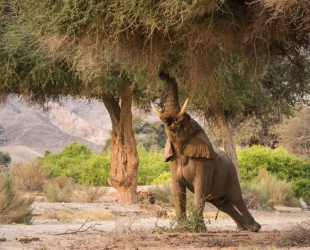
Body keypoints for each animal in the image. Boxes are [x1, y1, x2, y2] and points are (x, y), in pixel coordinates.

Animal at [151, 72, 260, 232]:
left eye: (188, 117)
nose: (164, 74)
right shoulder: (173, 162)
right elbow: (178, 191)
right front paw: (182, 229)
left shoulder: (205, 165)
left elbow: (200, 190)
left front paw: (198, 230)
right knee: (222, 202)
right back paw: (243, 228)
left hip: (231, 173)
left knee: (236, 198)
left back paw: (254, 228)